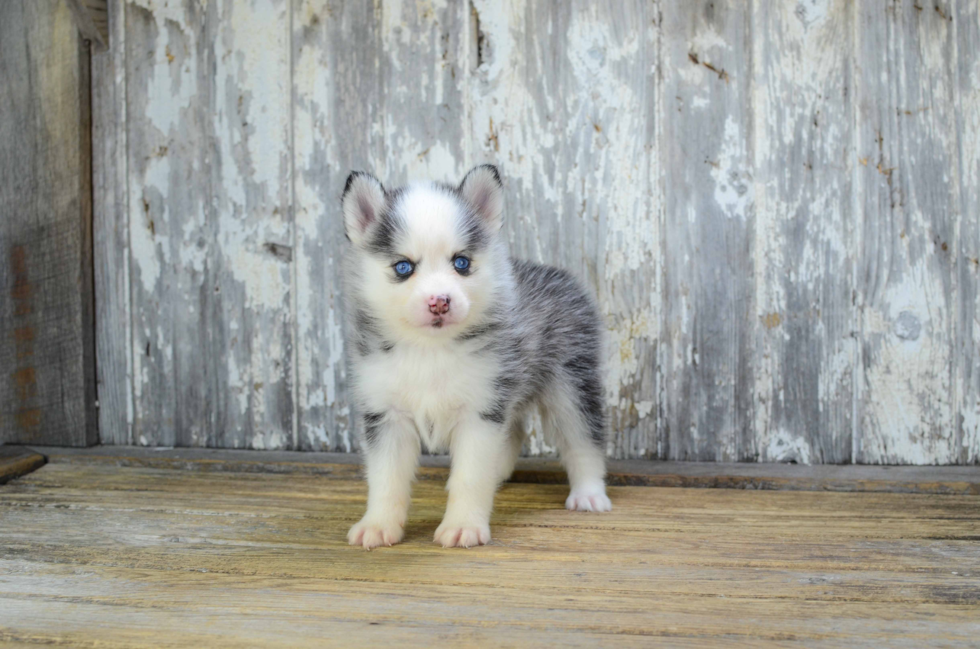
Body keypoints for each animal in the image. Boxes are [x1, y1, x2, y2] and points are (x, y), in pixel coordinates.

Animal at [340, 162, 608, 548]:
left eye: (461, 263)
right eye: (403, 267)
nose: (439, 301)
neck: (430, 351)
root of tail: (555, 272)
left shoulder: (479, 413)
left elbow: (469, 477)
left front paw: (463, 525)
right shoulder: (386, 414)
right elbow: (386, 479)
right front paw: (377, 525)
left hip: (570, 385)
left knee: (584, 440)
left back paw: (589, 493)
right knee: (514, 433)